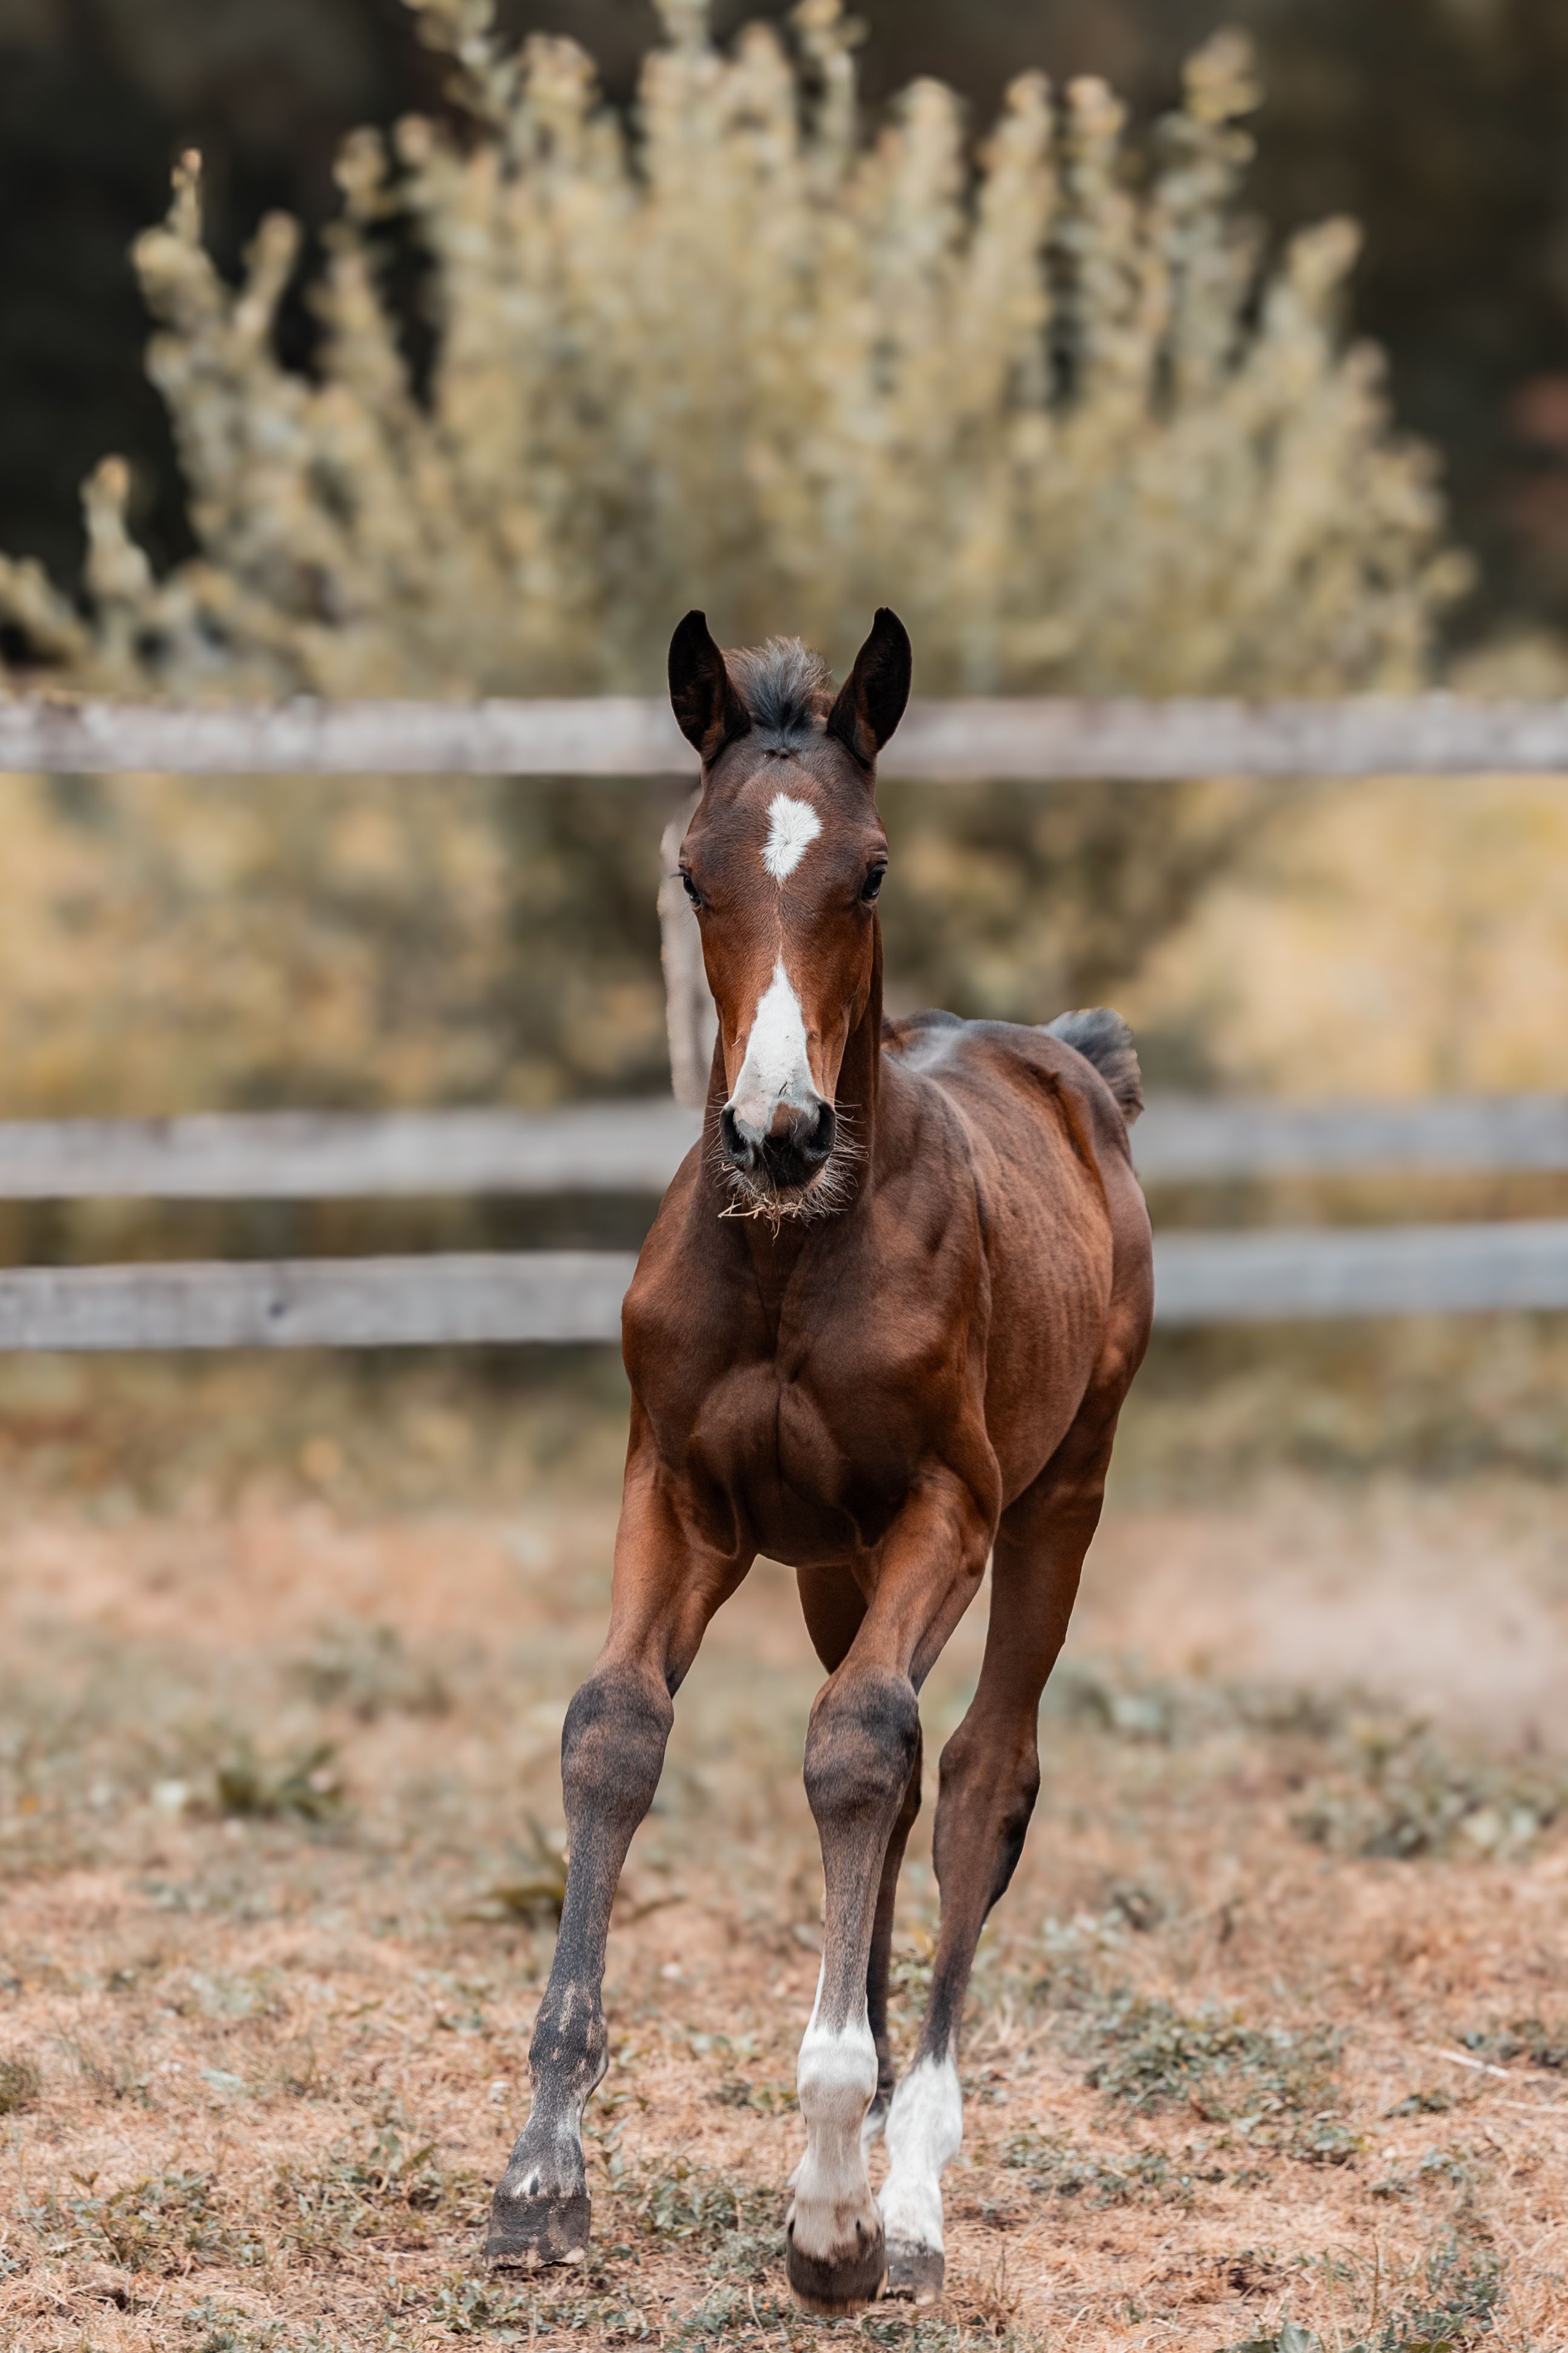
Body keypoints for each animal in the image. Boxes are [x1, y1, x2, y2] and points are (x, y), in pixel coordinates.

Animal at [485, 607, 1154, 2313]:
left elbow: (862, 1750)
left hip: (1060, 1495)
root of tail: (1071, 1064)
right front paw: (538, 2183)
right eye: (690, 871)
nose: (774, 1133)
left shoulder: (947, 1510)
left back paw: (909, 2194)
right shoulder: (679, 1495)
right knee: (902, 1772)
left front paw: (833, 2215)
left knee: (974, 1775)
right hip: (830, 1564)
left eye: (868, 870)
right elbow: (613, 1734)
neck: (792, 1252)